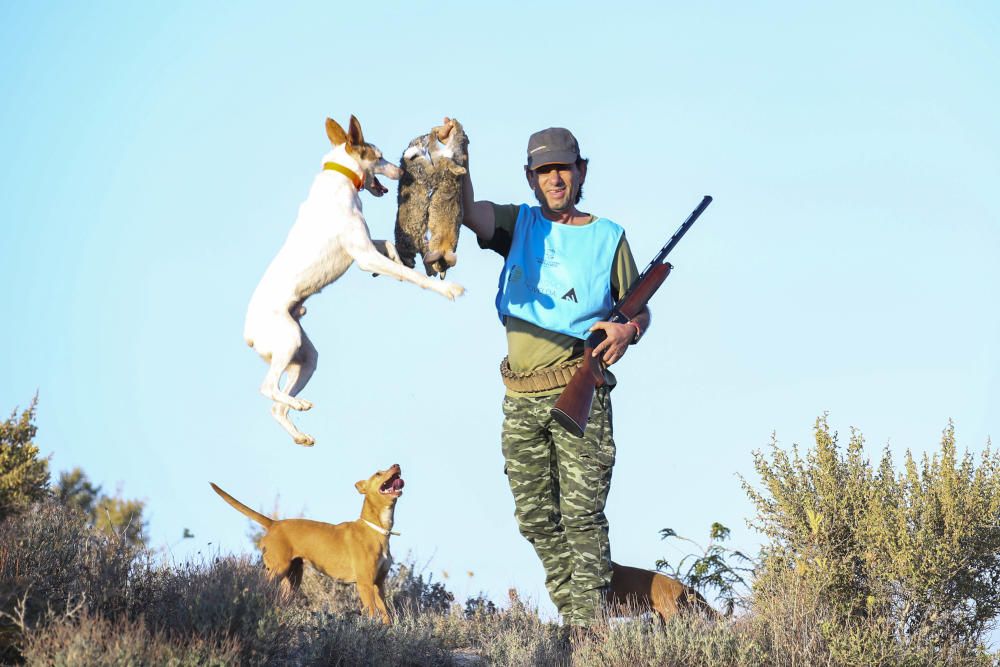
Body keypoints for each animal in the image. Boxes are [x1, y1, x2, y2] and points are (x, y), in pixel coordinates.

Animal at [209, 468, 404, 624]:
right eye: (378, 473)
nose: (397, 465)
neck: (377, 530)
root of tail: (274, 524)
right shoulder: (365, 584)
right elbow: (373, 613)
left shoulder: (378, 584)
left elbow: (386, 614)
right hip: (277, 570)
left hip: (293, 578)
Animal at [244, 117, 466, 446]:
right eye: (380, 156)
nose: (401, 172)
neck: (340, 178)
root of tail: (248, 334)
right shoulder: (362, 256)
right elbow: (411, 276)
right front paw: (446, 288)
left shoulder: (365, 249)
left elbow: (388, 247)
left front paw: (397, 262)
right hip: (288, 339)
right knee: (266, 388)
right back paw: (299, 403)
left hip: (305, 357)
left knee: (276, 407)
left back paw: (300, 430)